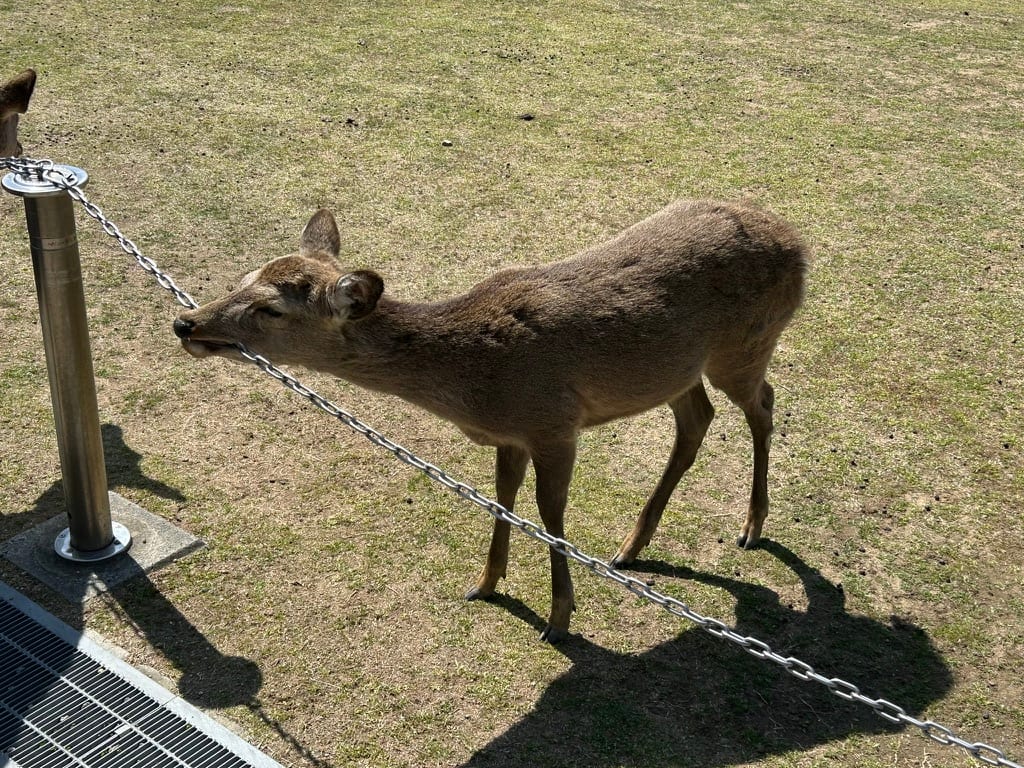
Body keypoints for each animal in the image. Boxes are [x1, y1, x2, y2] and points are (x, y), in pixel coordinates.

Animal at [173, 199, 809, 643]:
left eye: (270, 308)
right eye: (241, 279)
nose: (186, 322)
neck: (477, 380)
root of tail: (800, 245)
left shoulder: (555, 422)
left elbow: (550, 515)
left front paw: (559, 618)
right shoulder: (511, 434)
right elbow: (503, 497)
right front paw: (484, 584)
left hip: (745, 347)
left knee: (764, 404)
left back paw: (752, 527)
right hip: (678, 369)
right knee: (697, 417)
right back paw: (631, 547)